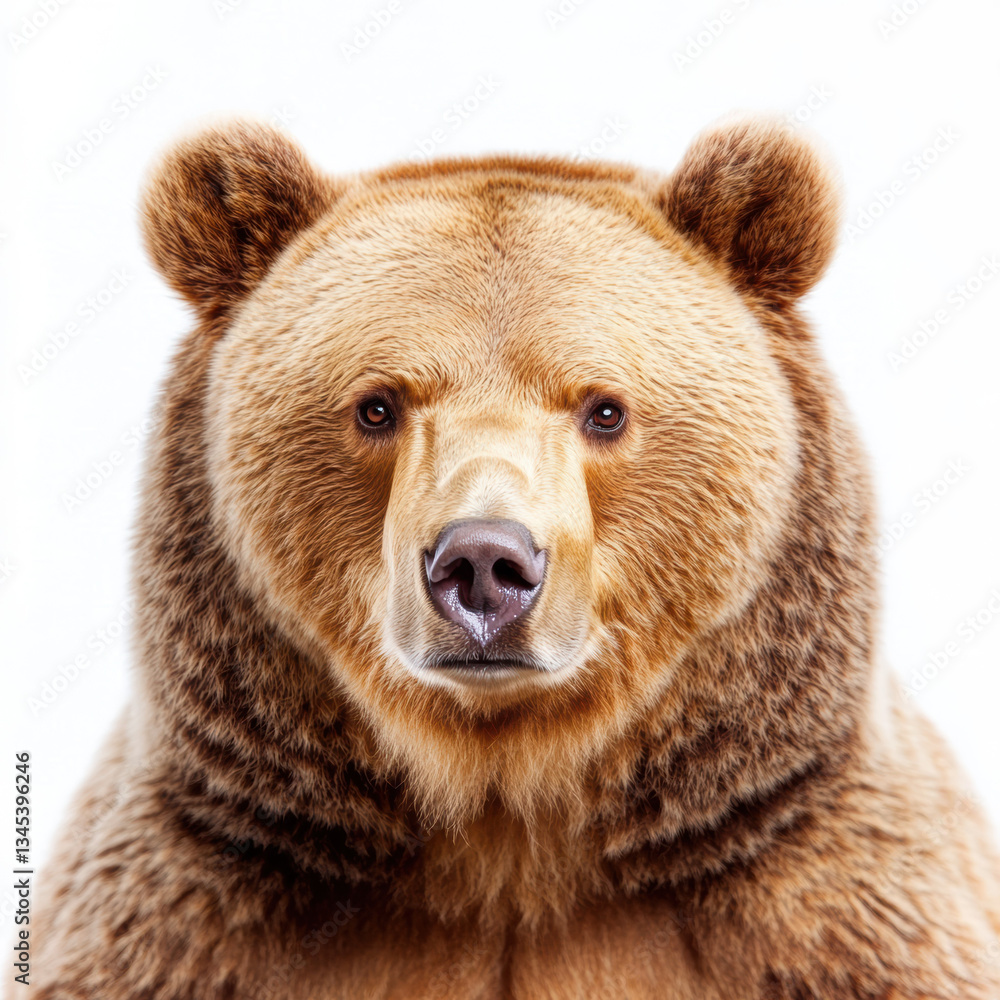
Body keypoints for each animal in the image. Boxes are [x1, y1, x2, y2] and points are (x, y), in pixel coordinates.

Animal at [25, 116, 1000, 999]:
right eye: (377, 405)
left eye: (604, 408)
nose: (484, 565)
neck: (507, 831)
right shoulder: (193, 909)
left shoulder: (826, 904)